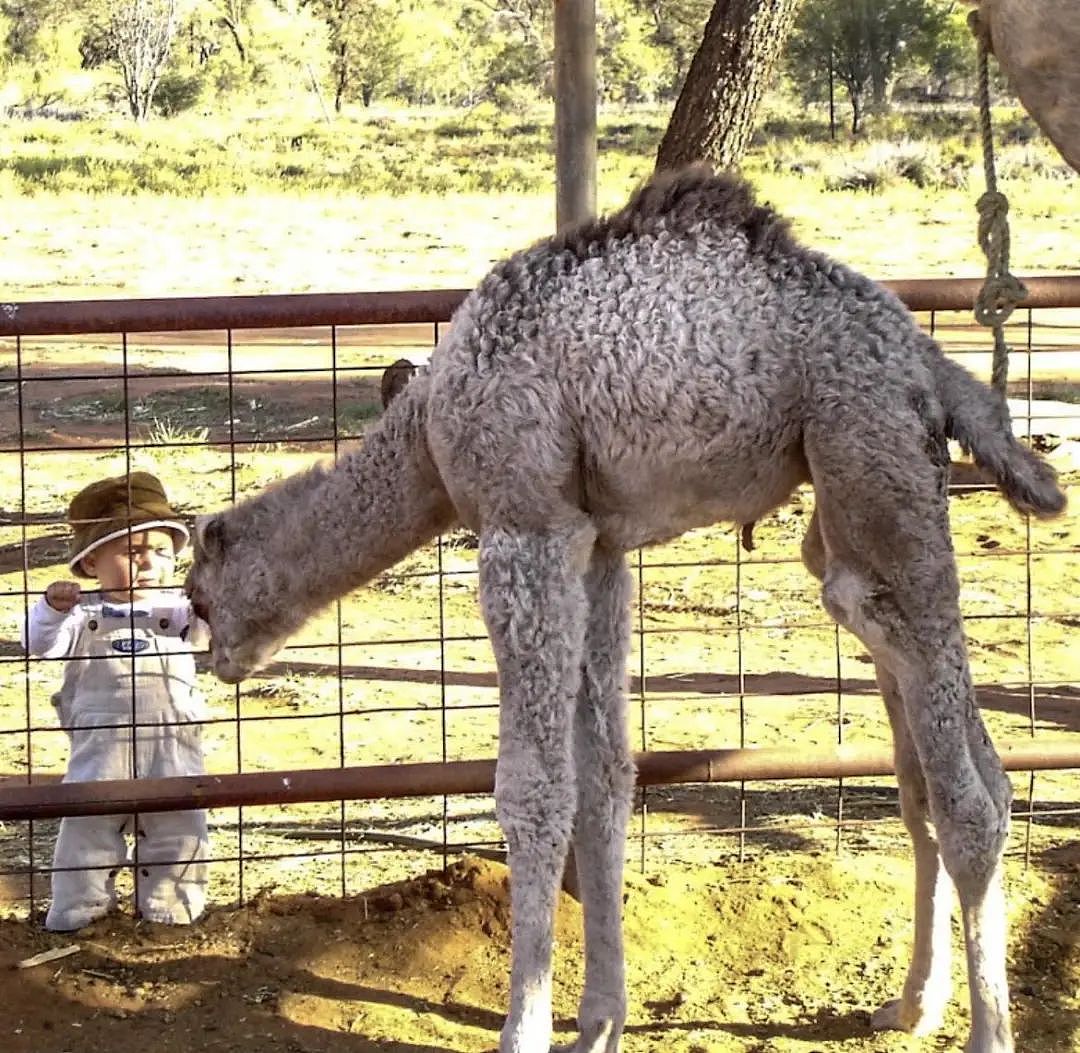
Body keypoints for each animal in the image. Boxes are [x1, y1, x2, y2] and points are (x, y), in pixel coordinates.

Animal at [185, 168, 1062, 1049]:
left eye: (195, 592)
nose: (212, 655)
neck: (430, 435)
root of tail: (933, 363)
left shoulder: (526, 529)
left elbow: (533, 789)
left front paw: (525, 1027)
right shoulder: (599, 545)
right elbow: (604, 774)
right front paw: (601, 1017)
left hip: (871, 457)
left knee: (963, 785)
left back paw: (988, 1028)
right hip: (864, 484)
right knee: (947, 766)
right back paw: (912, 1002)